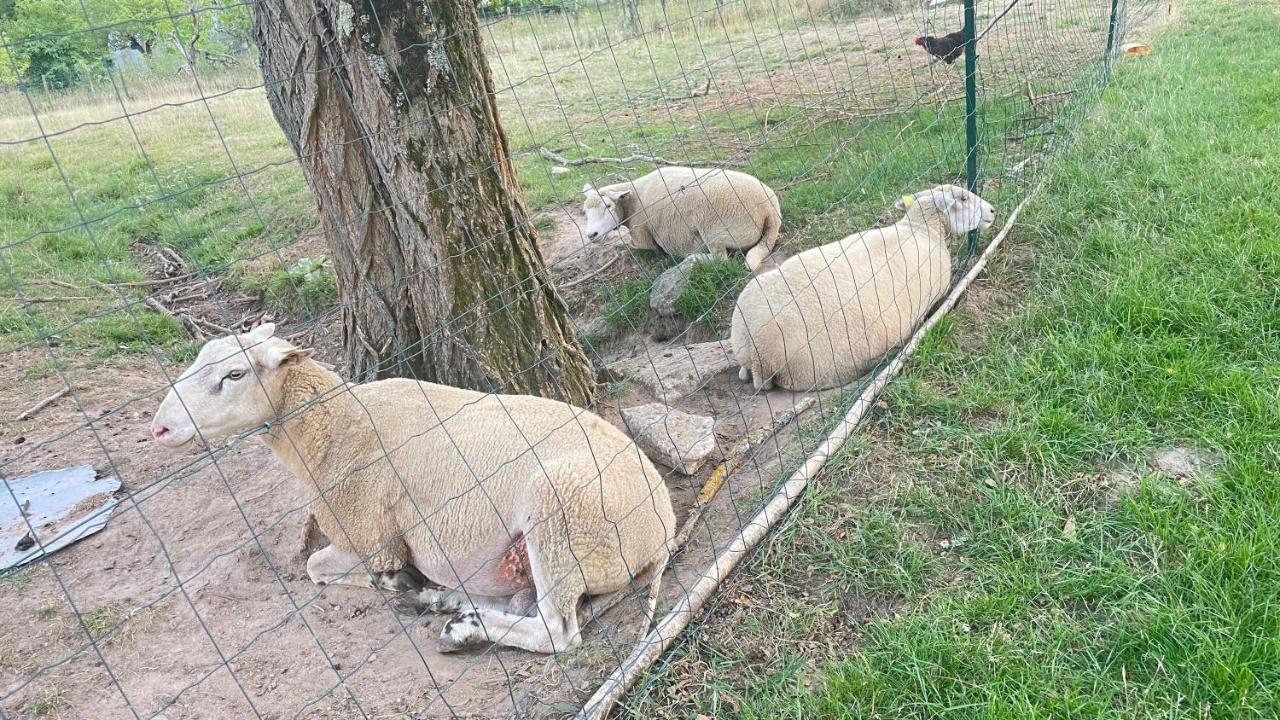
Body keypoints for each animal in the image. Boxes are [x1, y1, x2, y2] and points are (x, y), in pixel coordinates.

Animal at [149, 322, 675, 653]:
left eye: (234, 374)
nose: (159, 428)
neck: (333, 429)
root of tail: (664, 528)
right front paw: (409, 586)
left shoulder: (371, 538)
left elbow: (317, 568)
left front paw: (389, 580)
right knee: (521, 605)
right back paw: (444, 603)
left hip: (560, 520)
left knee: (557, 633)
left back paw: (462, 628)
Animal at [581, 165, 778, 269]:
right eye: (585, 211)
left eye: (608, 206)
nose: (591, 235)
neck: (632, 201)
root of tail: (770, 211)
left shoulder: (642, 237)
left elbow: (635, 246)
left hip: (715, 230)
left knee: (720, 259)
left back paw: (692, 258)